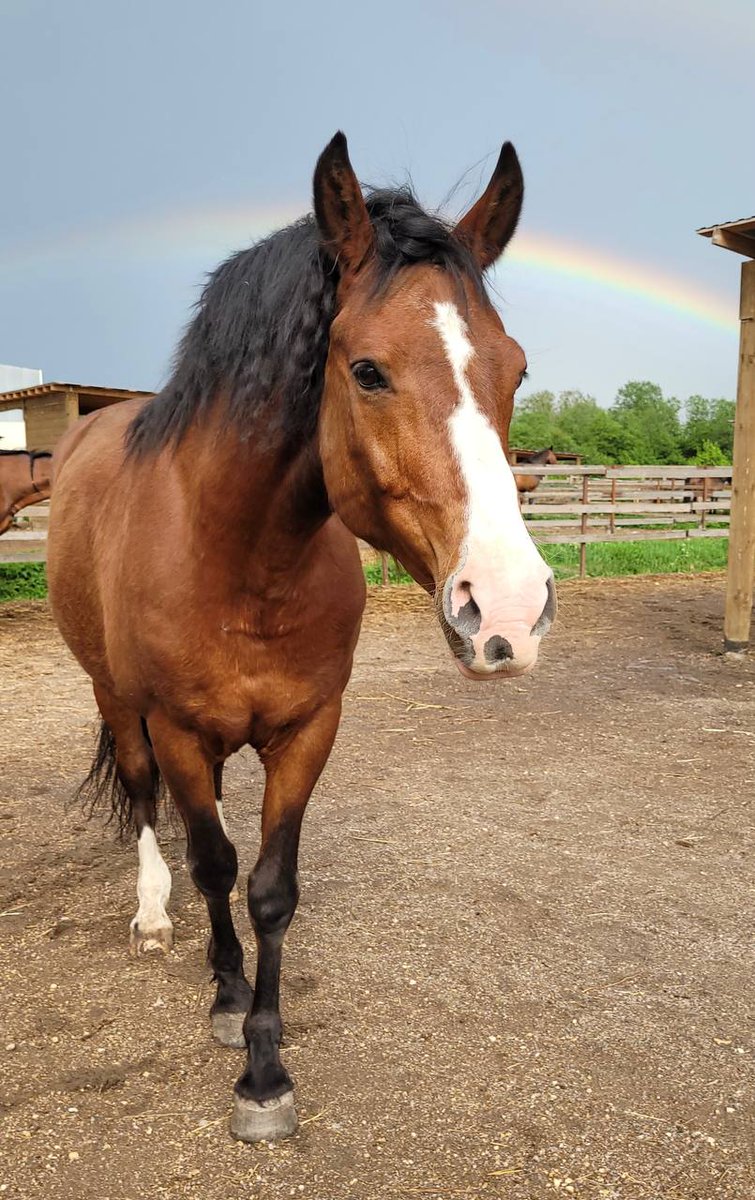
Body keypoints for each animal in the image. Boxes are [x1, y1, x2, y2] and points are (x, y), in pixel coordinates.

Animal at [47, 132, 556, 1143]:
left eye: (515, 369)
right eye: (366, 370)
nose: (508, 612)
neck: (239, 556)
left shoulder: (309, 729)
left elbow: (270, 890)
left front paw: (265, 1064)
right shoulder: (179, 730)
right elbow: (214, 865)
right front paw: (227, 1006)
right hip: (115, 699)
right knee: (144, 799)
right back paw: (153, 916)